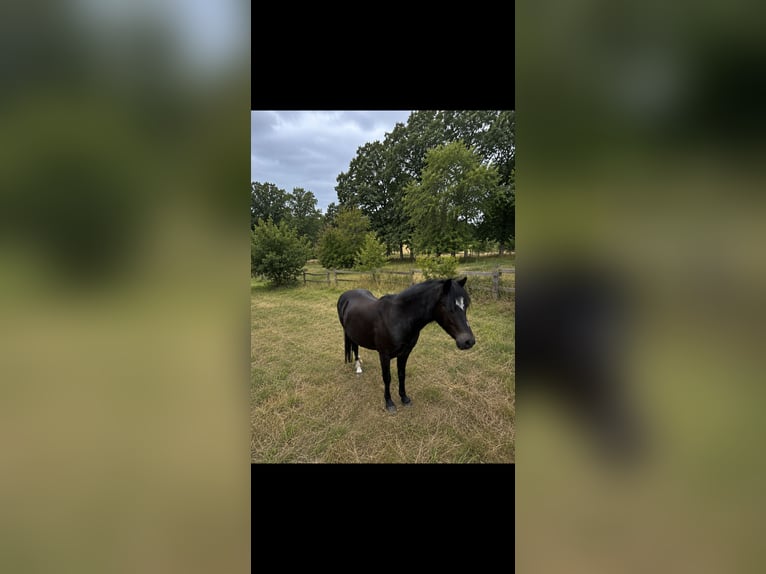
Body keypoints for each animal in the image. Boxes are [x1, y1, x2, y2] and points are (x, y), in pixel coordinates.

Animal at [337, 277, 476, 413]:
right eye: (447, 306)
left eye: (466, 305)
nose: (468, 341)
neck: (399, 317)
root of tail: (346, 295)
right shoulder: (384, 355)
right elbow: (387, 377)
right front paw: (389, 403)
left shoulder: (405, 353)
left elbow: (401, 374)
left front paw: (404, 398)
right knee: (355, 348)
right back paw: (358, 367)